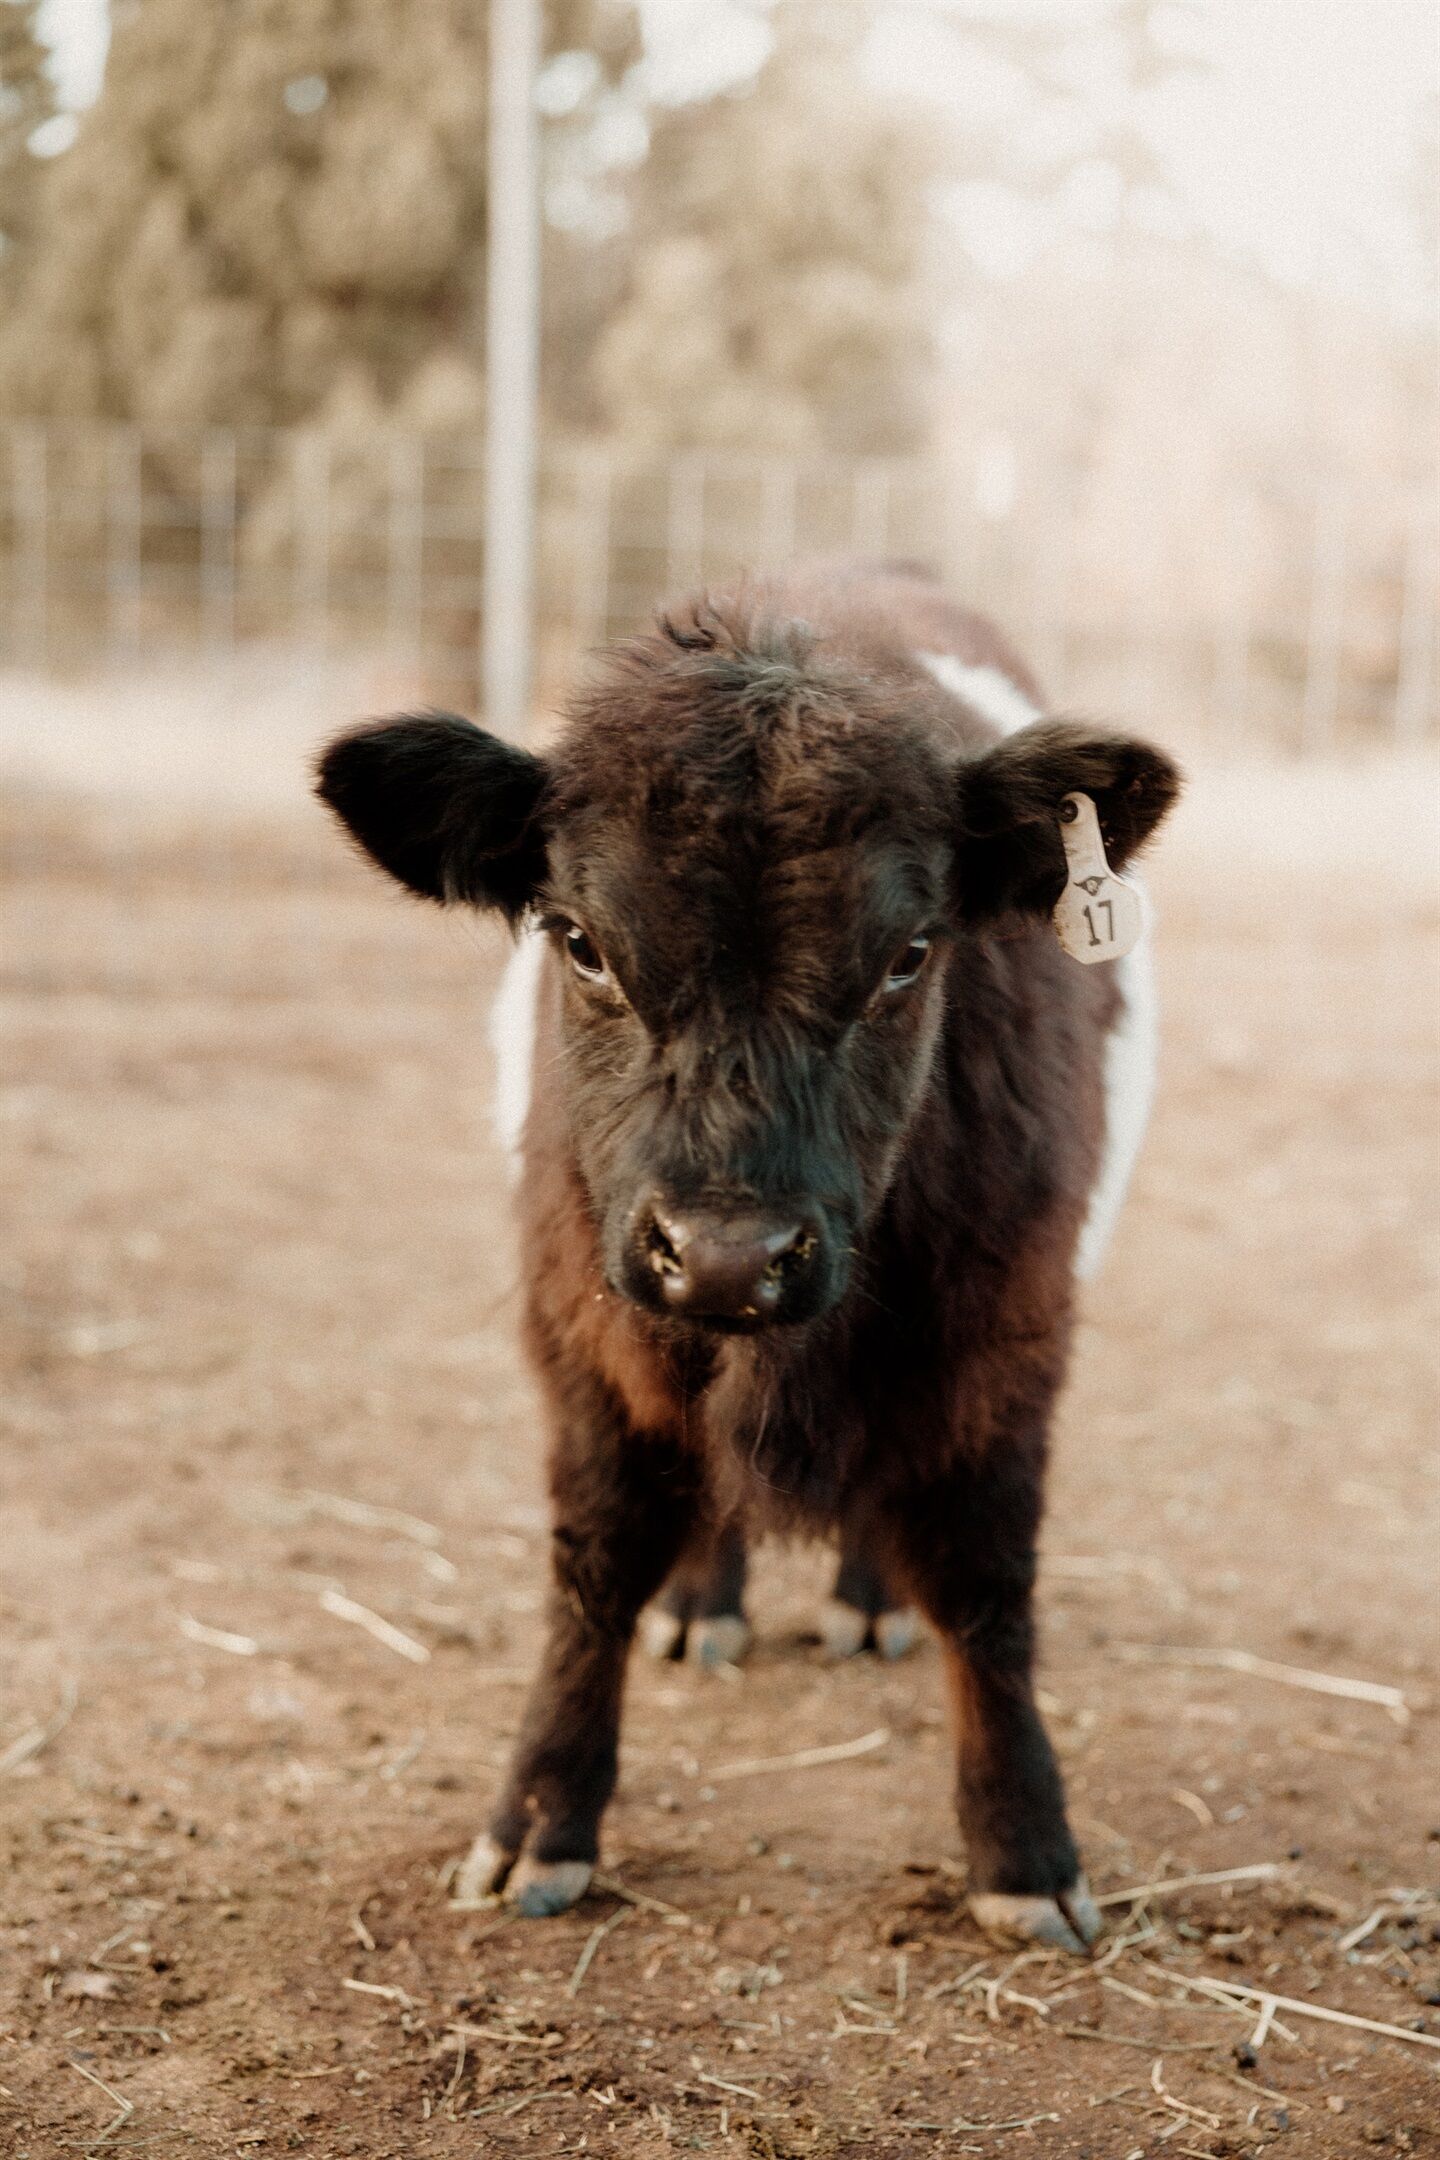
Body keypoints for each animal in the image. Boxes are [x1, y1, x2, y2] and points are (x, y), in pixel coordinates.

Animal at [316, 563, 1180, 1954]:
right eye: (580, 941)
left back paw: (869, 1601)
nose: (729, 1255)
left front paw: (1026, 1848)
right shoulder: (585, 1336)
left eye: (910, 955)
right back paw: (702, 1607)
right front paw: (541, 1817)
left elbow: (989, 1587)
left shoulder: (1008, 1338)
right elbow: (595, 1569)